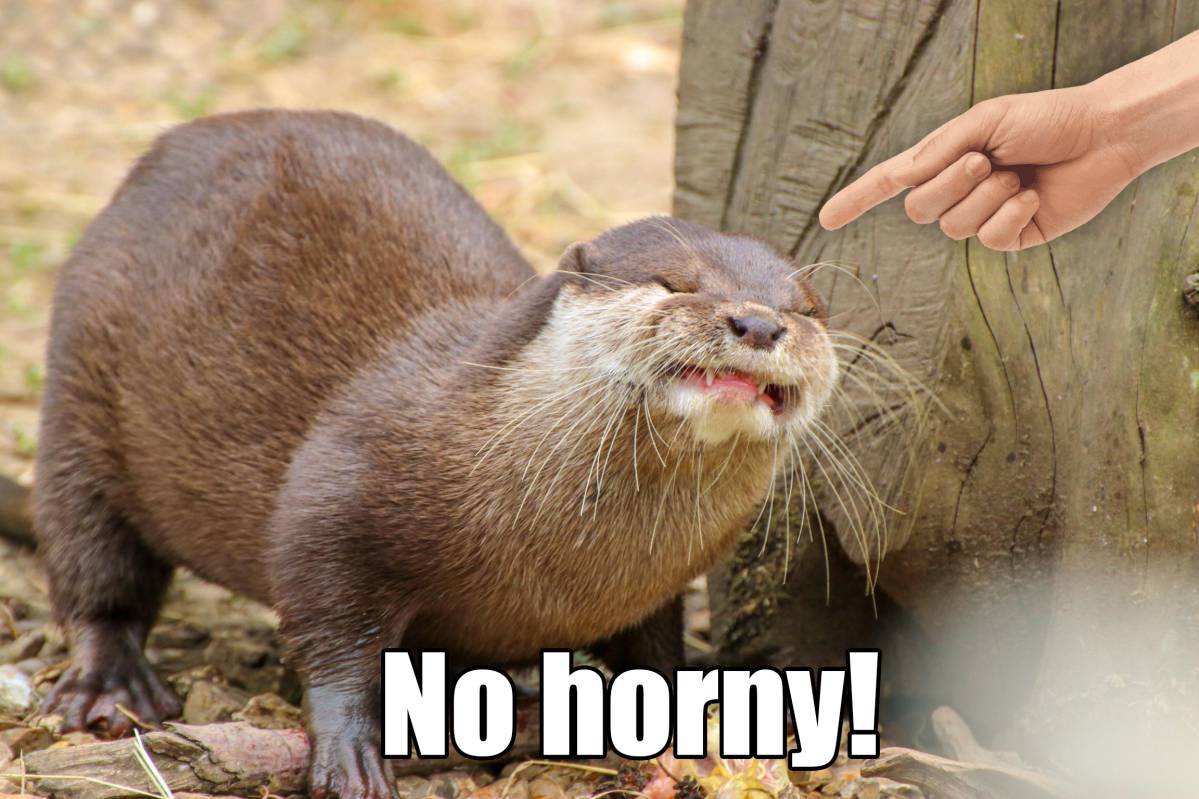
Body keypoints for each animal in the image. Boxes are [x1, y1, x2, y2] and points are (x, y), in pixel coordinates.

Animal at [34, 110, 838, 799]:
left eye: (804, 307)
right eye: (674, 282)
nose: (758, 322)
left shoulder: (653, 584)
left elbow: (654, 647)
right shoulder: (339, 493)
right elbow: (330, 631)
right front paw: (351, 754)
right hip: (78, 391)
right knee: (92, 560)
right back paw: (112, 685)